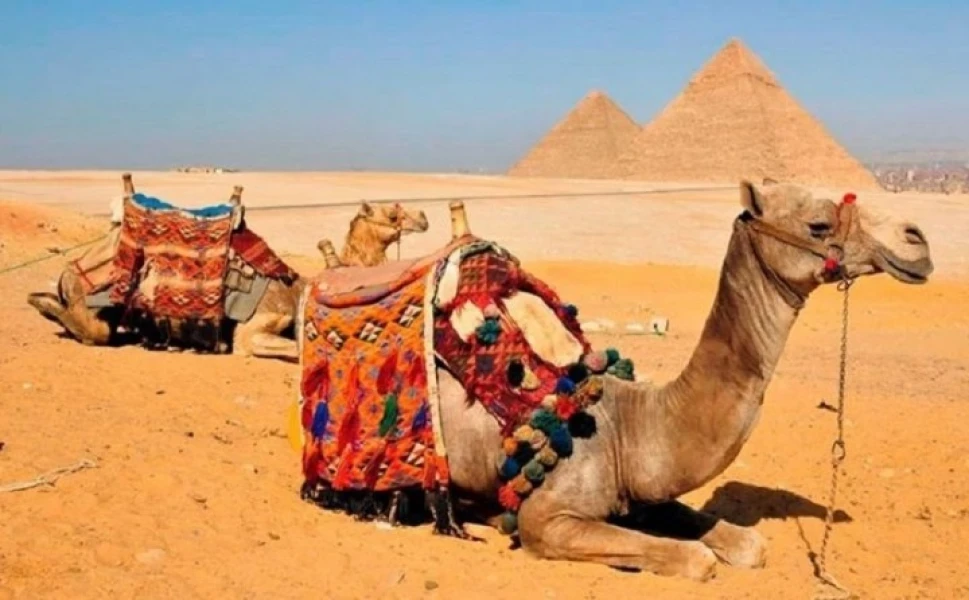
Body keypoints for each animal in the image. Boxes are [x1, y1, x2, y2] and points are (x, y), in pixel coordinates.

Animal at [26, 175, 429, 361]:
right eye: (392, 214)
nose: (424, 218)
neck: (300, 290)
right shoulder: (255, 327)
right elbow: (285, 348)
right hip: (93, 306)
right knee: (88, 328)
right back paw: (42, 303)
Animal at [417, 180, 932, 580]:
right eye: (818, 225)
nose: (916, 240)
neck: (629, 426)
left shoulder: (645, 494)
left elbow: (748, 545)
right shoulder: (545, 520)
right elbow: (697, 559)